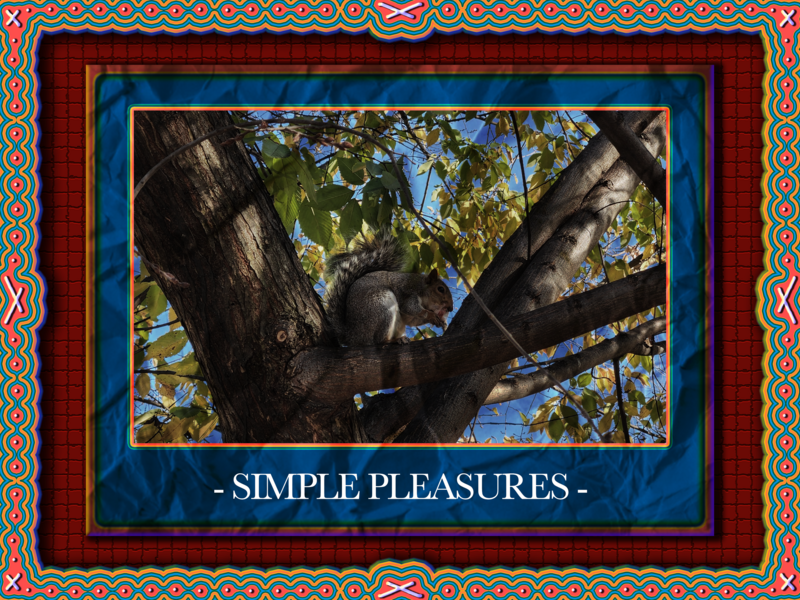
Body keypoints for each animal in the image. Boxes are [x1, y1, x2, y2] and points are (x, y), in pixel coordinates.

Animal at [324, 231, 454, 347]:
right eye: (441, 289)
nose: (450, 308)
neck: (422, 288)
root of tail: (352, 337)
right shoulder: (410, 293)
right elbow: (411, 308)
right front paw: (432, 315)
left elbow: (413, 321)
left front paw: (441, 322)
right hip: (381, 307)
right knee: (379, 341)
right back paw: (393, 341)